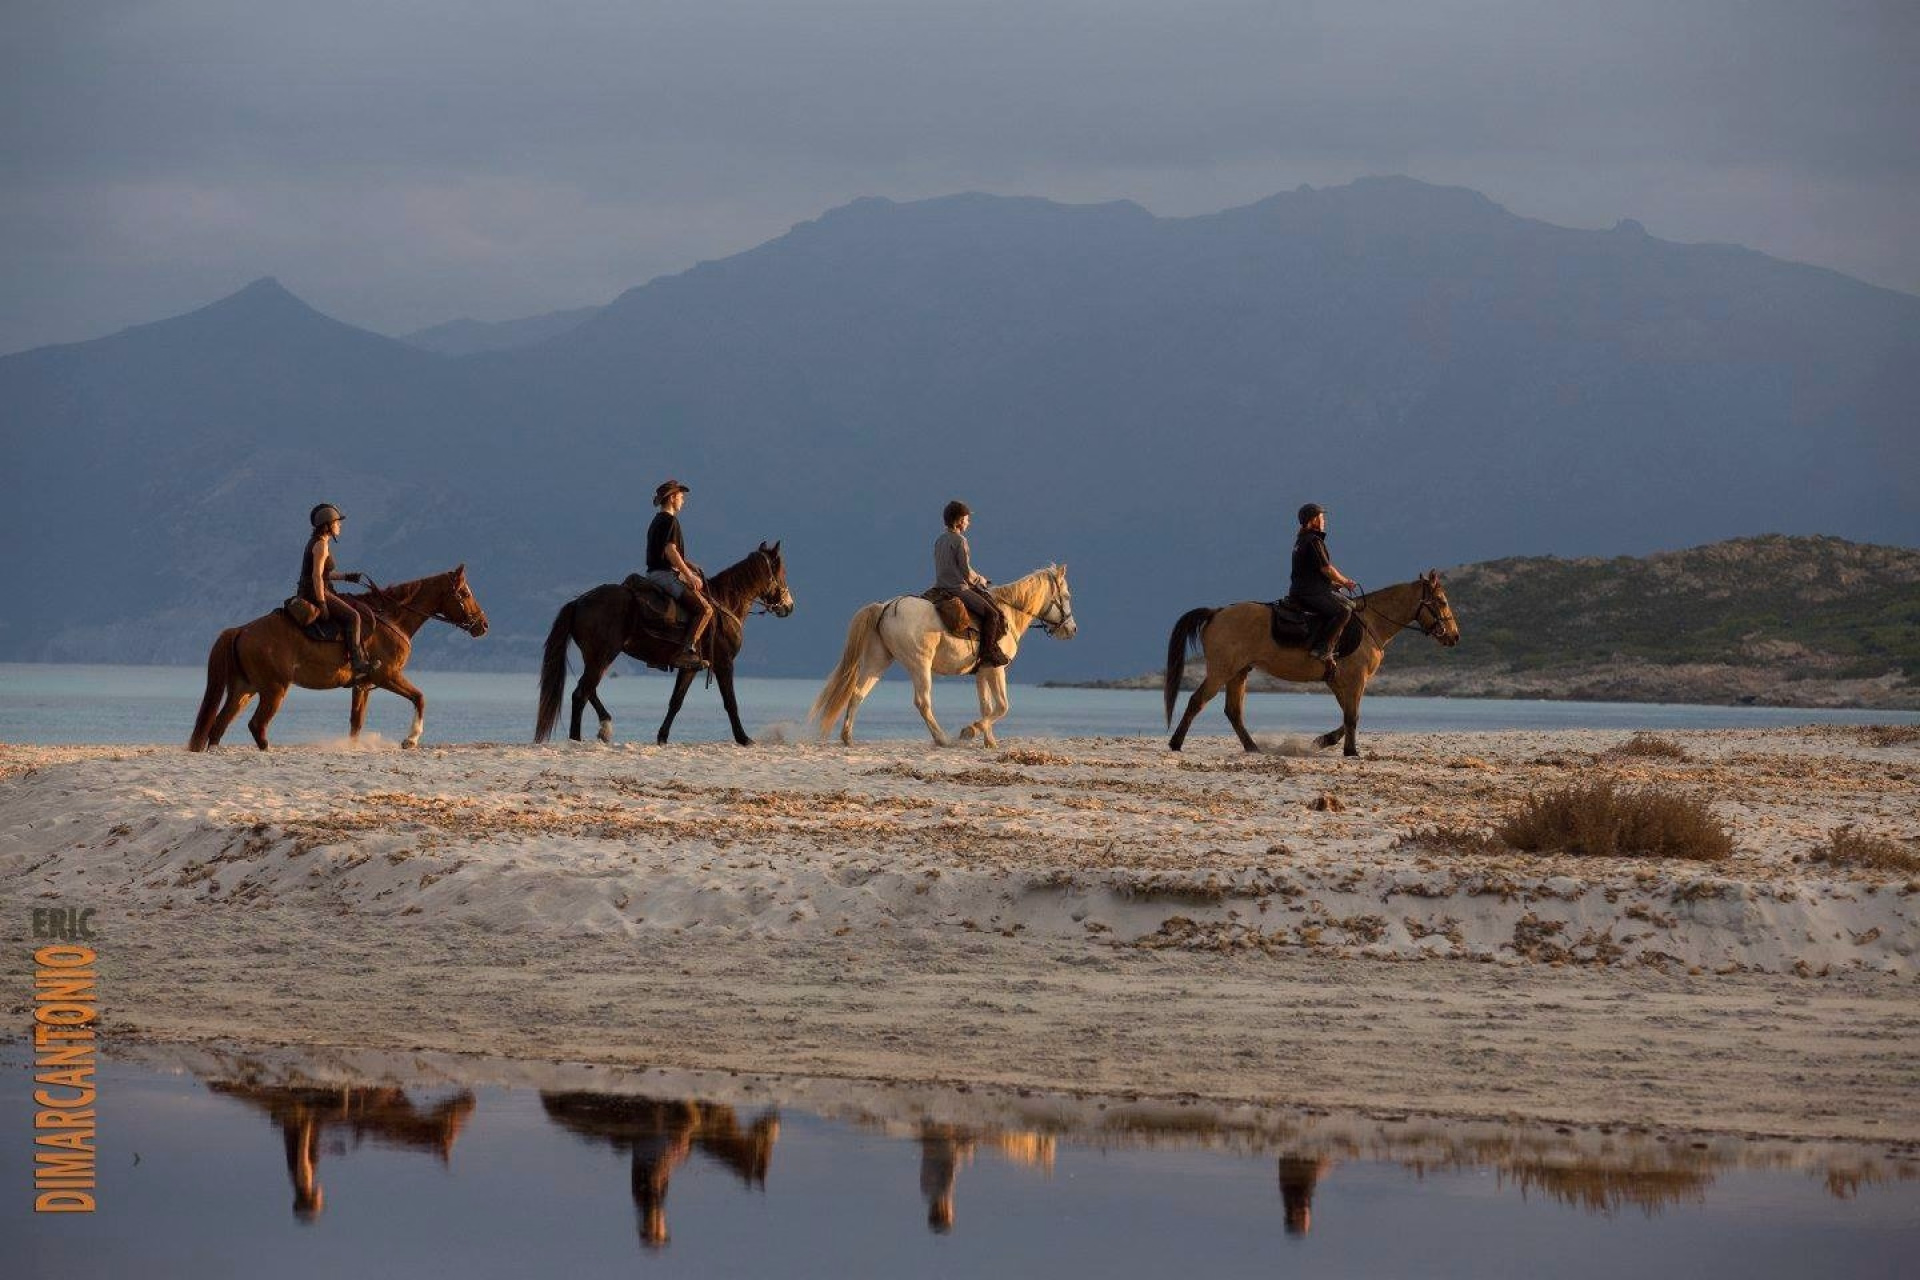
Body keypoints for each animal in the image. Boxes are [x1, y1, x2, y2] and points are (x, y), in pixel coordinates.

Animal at [187, 566, 490, 752]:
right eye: (465, 593)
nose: (483, 625)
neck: (392, 618)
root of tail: (241, 630)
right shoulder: (387, 676)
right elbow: (420, 698)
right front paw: (411, 739)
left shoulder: (362, 685)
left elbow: (356, 721)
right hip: (274, 689)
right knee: (256, 725)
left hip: (244, 689)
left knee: (219, 724)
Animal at [535, 542, 794, 747]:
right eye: (781, 571)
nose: (789, 606)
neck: (725, 602)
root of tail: (579, 601)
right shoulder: (724, 663)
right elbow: (730, 703)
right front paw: (743, 738)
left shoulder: (690, 667)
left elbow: (675, 702)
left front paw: (662, 737)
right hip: (603, 655)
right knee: (581, 693)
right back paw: (576, 738)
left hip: (597, 657)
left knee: (588, 690)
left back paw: (604, 727)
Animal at [810, 564, 1076, 748]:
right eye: (1066, 596)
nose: (1072, 629)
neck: (1007, 613)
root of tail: (886, 606)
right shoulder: (996, 668)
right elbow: (1002, 706)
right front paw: (971, 731)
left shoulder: (983, 671)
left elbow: (986, 706)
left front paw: (988, 740)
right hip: (920, 665)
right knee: (922, 702)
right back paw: (941, 738)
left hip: (878, 662)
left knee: (857, 694)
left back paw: (847, 737)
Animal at [1162, 571, 1459, 756]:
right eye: (1441, 601)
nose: (1454, 636)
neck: (1370, 623)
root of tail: (1217, 612)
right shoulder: (1355, 680)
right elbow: (1352, 716)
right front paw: (1351, 751)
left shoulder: (1339, 682)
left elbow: (1347, 716)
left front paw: (1325, 740)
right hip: (1220, 672)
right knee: (1197, 702)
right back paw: (1176, 743)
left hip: (1238, 673)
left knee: (1233, 712)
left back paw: (1253, 748)